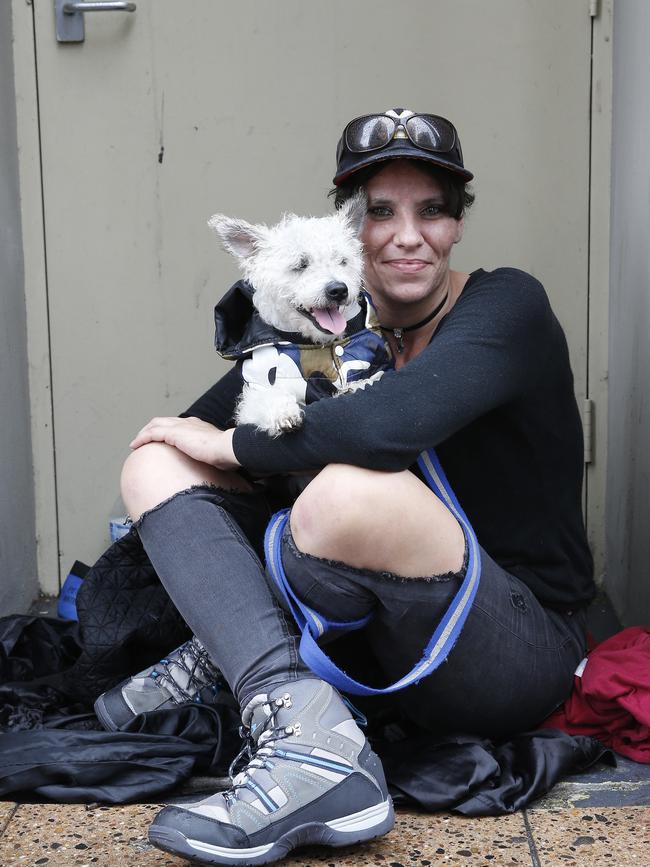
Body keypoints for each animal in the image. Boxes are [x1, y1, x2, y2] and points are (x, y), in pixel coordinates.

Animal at [208, 198, 390, 440]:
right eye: (300, 265)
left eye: (342, 261)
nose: (338, 290)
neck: (321, 344)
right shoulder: (256, 391)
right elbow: (262, 400)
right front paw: (282, 413)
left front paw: (358, 385)